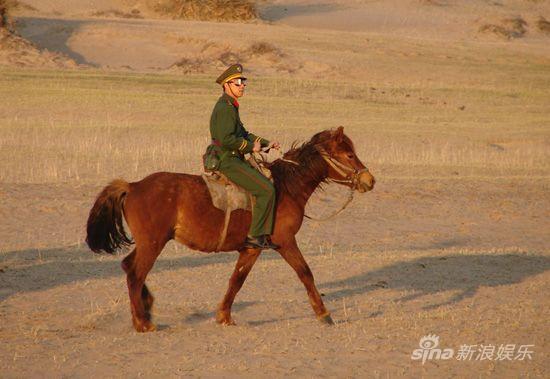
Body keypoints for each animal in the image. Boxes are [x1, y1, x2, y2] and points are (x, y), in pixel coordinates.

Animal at [87, 127, 376, 332]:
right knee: (136, 274)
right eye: (349, 155)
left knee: (129, 267)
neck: (286, 188)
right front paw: (323, 314)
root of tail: (133, 185)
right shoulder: (285, 242)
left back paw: (146, 308)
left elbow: (237, 280)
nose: (369, 180)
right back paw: (143, 322)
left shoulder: (252, 247)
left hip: (149, 243)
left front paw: (224, 316)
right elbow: (305, 273)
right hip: (153, 243)